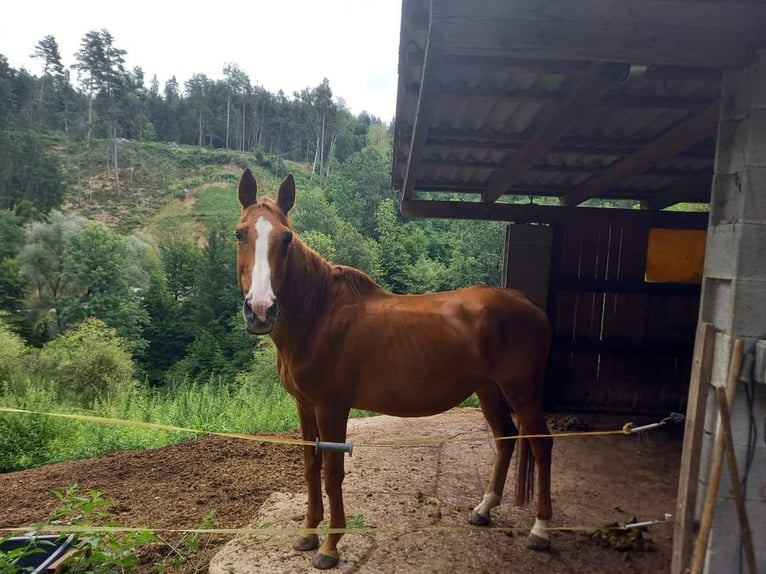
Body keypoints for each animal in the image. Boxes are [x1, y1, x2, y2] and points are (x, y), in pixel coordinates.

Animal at [236, 168, 560, 572]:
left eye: (286, 237)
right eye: (240, 234)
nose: (260, 310)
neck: (320, 314)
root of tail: (528, 303)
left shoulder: (331, 407)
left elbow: (332, 472)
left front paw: (330, 547)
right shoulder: (305, 406)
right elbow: (311, 468)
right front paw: (308, 534)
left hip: (522, 391)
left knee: (541, 444)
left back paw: (541, 530)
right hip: (489, 390)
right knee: (505, 438)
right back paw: (484, 510)